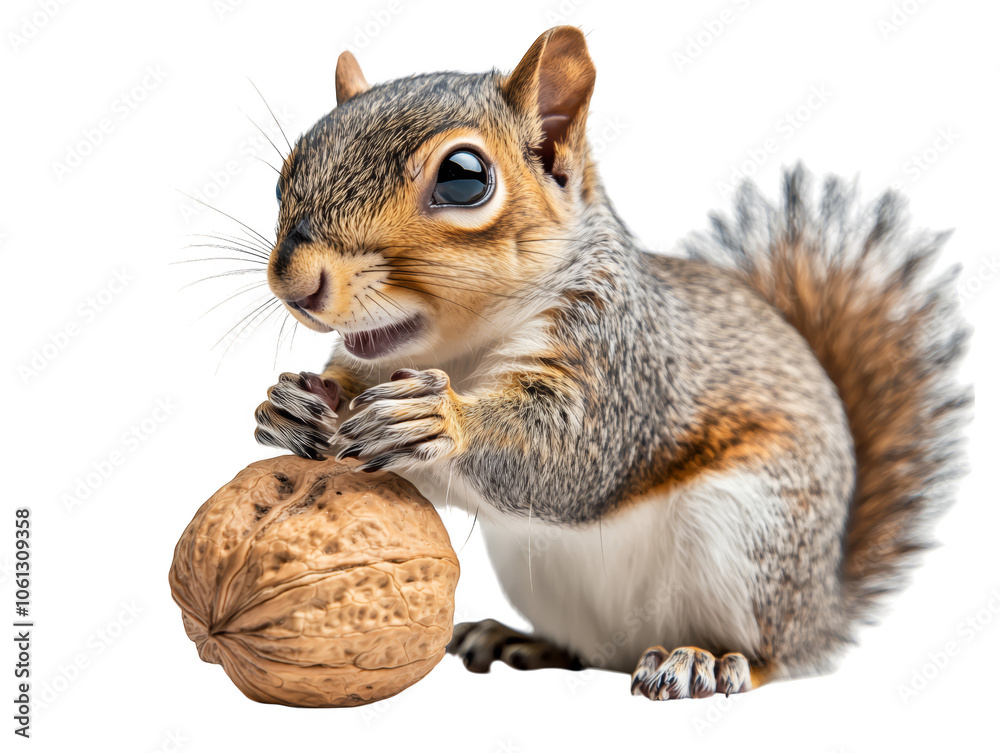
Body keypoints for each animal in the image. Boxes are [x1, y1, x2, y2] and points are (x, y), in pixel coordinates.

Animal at [251, 26, 971, 700]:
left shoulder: (625, 359)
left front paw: (439, 419)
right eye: (286, 174)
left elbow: (578, 453)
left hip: (752, 534)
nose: (297, 282)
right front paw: (288, 404)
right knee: (586, 650)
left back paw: (707, 660)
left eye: (463, 177)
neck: (462, 349)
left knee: (773, 655)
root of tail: (822, 608)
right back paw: (518, 638)